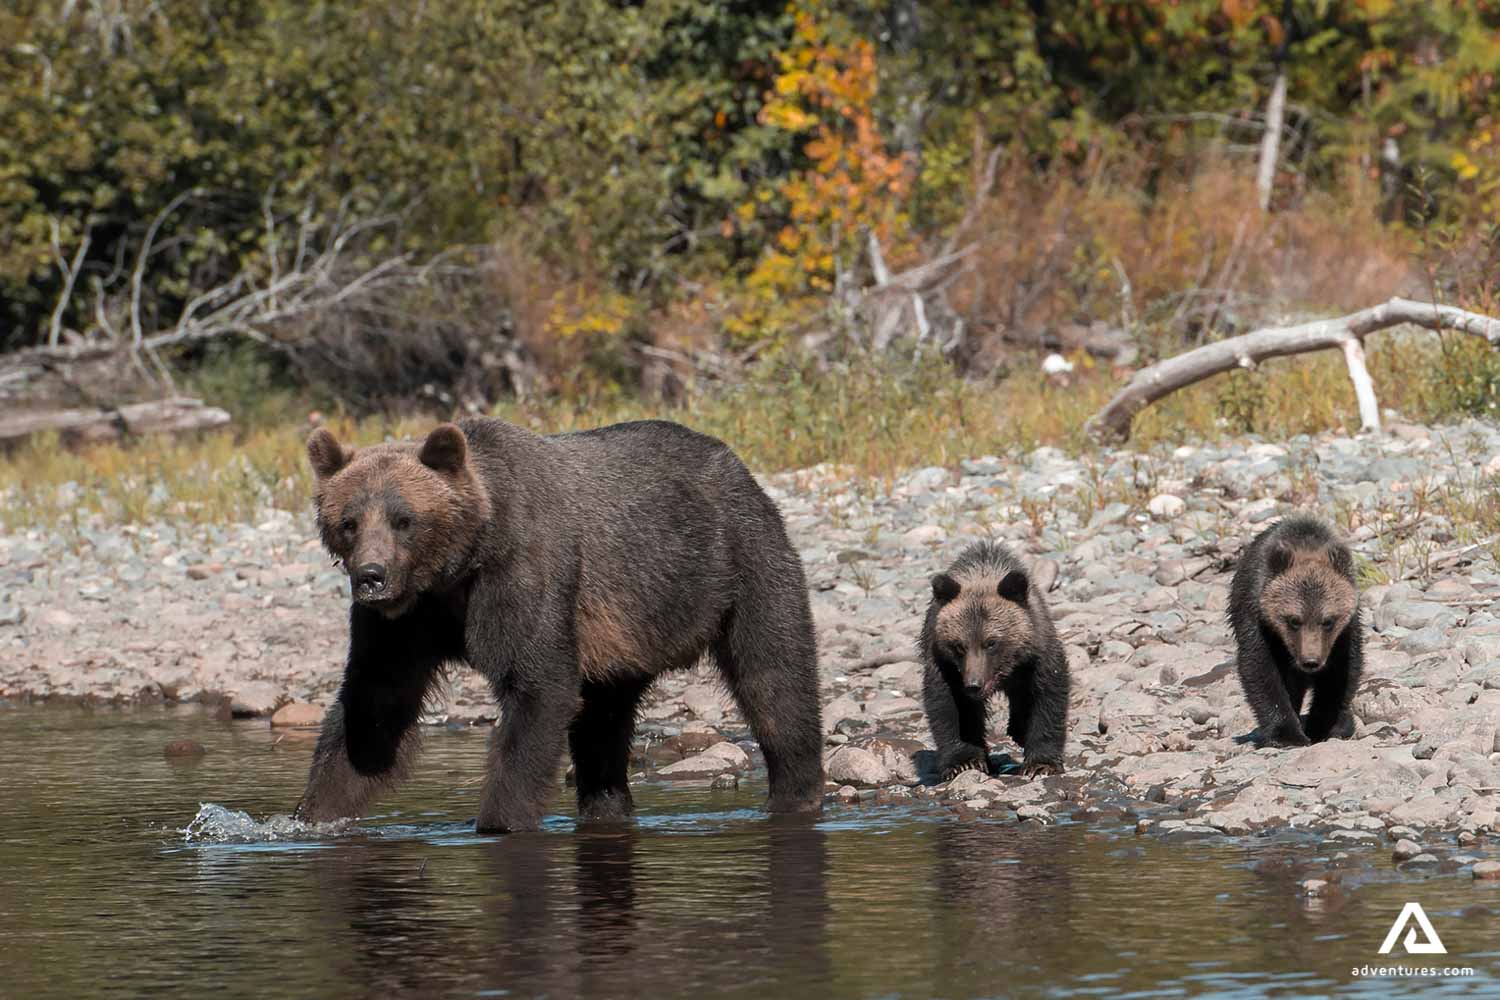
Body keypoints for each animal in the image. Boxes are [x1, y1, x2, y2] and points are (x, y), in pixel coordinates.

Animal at [293, 417, 823, 832]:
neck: (457, 568)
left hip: (742, 563)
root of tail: (735, 463)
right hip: (621, 637)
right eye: (349, 521)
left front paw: (498, 820)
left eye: (404, 519)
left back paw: (794, 794)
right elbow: (375, 705)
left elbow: (538, 687)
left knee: (774, 677)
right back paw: (606, 806)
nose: (371, 576)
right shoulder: (406, 620)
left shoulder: (525, 571)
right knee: (603, 724)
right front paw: (313, 814)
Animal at [919, 541, 1070, 779]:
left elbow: (1048, 697)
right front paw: (963, 762)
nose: (973, 684)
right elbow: (948, 706)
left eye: (991, 642)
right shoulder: (945, 665)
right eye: (959, 645)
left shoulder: (1038, 656)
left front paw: (1041, 763)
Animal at [1229, 513, 1364, 747]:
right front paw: (1287, 734)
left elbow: (1341, 675)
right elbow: (1259, 668)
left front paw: (1323, 727)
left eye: (1328, 621)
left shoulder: (1346, 632)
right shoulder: (1256, 618)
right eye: (1294, 620)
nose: (1310, 661)